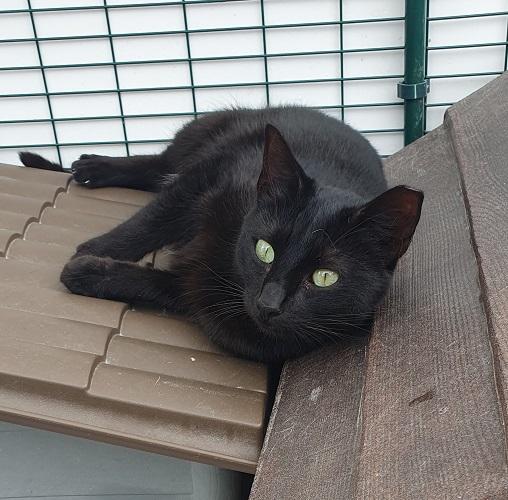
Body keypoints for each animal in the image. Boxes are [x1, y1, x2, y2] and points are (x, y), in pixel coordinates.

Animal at [20, 107, 423, 363]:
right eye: (265, 250)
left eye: (325, 277)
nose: (269, 304)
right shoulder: (204, 178)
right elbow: (152, 220)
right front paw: (92, 251)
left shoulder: (192, 290)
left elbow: (161, 285)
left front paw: (89, 272)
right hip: (200, 137)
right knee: (157, 167)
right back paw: (91, 166)